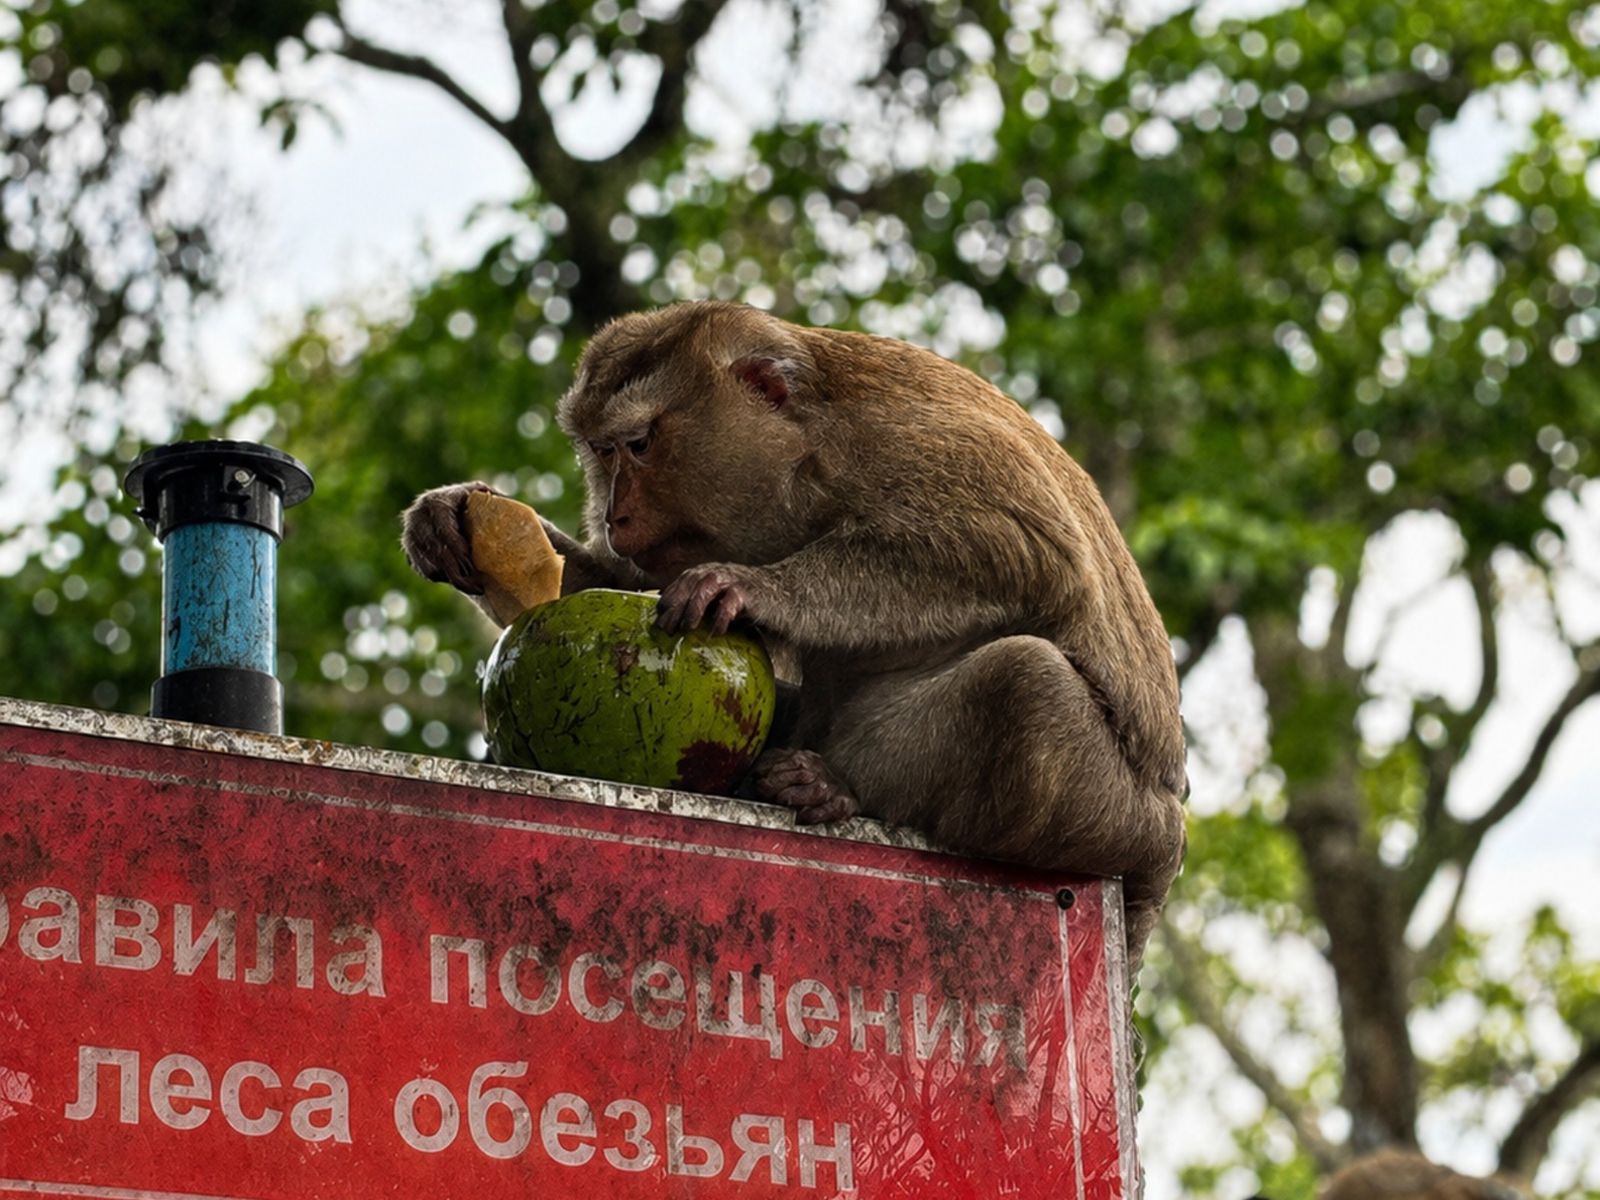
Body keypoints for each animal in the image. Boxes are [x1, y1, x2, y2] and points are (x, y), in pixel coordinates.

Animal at [401, 301, 1188, 969]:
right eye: (601, 453)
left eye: (640, 444)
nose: (616, 515)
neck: (807, 449)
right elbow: (615, 581)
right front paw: (451, 519)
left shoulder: (911, 443)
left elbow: (1020, 551)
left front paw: (753, 588)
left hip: (1119, 820)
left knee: (1027, 683)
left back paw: (835, 787)